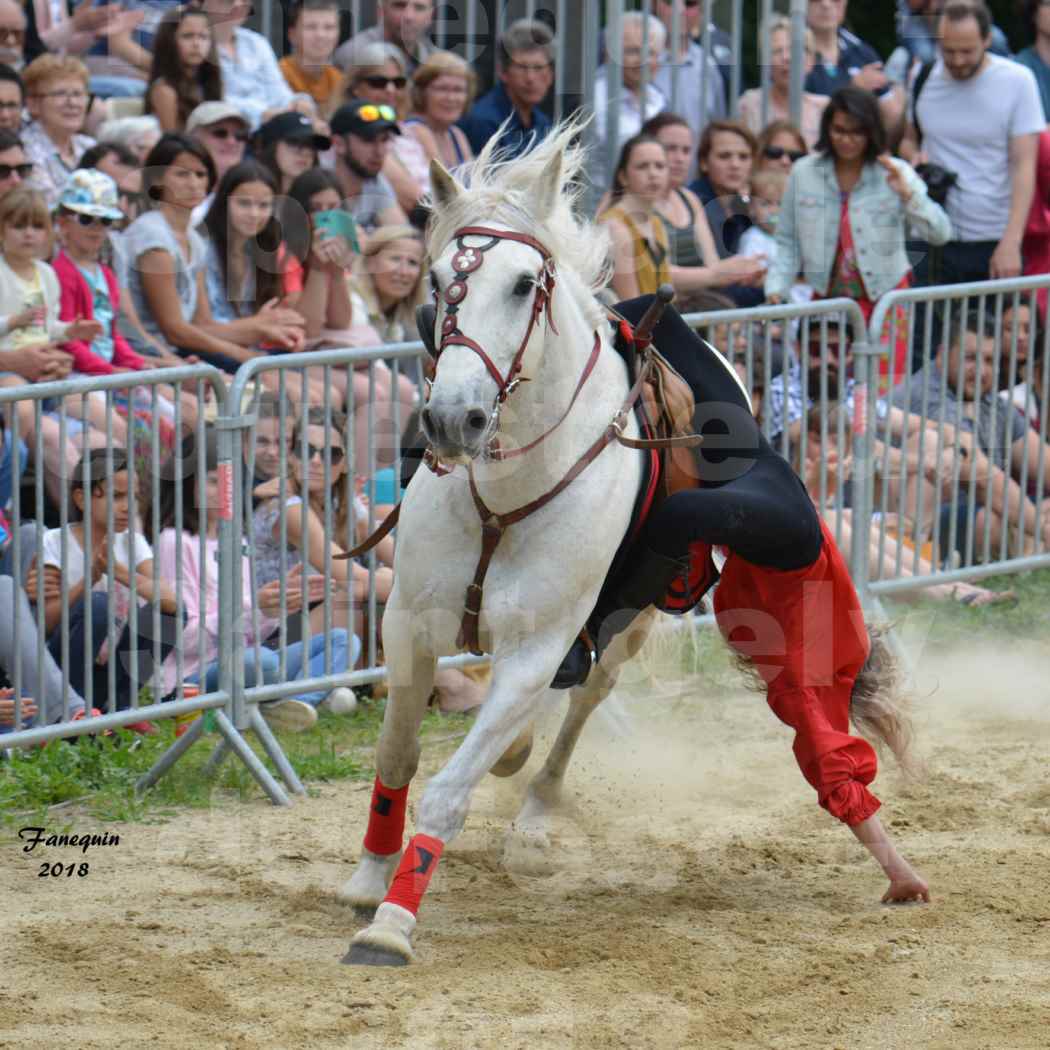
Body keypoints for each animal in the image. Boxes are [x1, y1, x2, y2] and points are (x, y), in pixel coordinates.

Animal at [340, 120, 659, 961]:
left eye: (522, 285)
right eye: (436, 282)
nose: (454, 419)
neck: (506, 493)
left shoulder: (534, 652)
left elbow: (450, 791)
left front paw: (393, 923)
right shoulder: (409, 625)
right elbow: (397, 753)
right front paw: (369, 874)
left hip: (628, 626)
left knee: (585, 701)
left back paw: (537, 814)